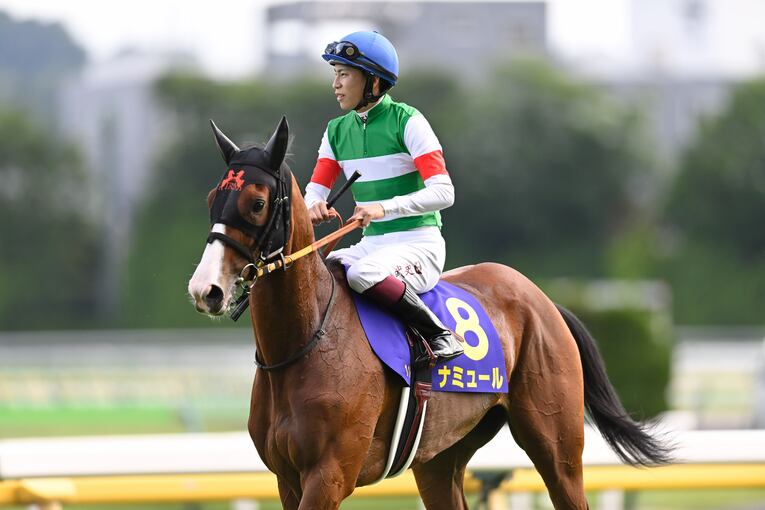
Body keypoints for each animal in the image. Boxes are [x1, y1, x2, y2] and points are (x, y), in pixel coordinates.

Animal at [188, 117, 671, 509]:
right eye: (212, 198)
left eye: (256, 202)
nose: (205, 290)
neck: (306, 342)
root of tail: (543, 300)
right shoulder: (287, 479)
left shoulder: (329, 475)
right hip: (440, 456)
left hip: (558, 449)